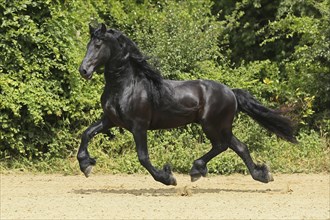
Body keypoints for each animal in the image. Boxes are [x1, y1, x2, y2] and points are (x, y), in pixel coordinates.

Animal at [76, 24, 296, 186]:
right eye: (87, 45)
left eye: (98, 45)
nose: (83, 71)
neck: (126, 85)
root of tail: (231, 92)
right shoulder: (110, 120)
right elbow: (86, 134)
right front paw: (86, 164)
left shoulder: (138, 126)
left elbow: (143, 157)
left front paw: (168, 178)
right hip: (222, 126)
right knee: (239, 147)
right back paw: (262, 175)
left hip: (211, 125)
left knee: (222, 145)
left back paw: (196, 169)